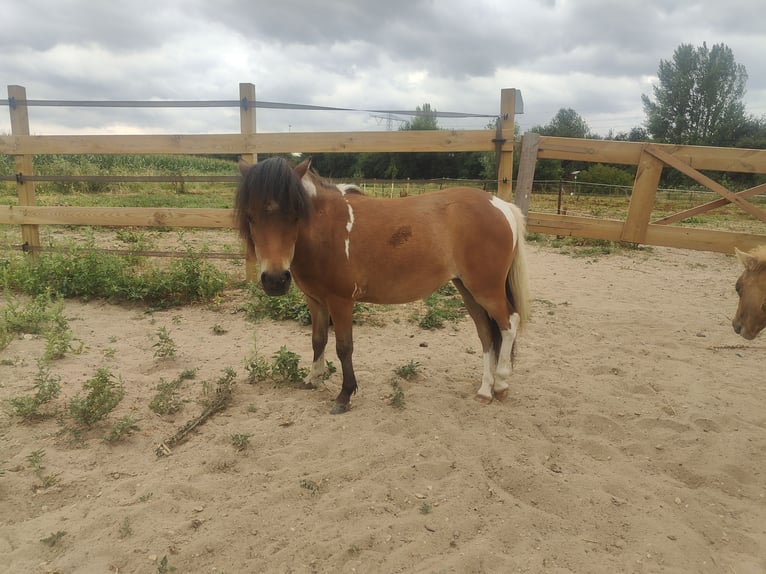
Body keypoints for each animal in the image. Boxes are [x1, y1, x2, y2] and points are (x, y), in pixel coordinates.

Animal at [235, 157, 531, 414]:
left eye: (295, 215)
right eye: (250, 217)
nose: (275, 280)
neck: (325, 230)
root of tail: (500, 205)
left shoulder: (341, 301)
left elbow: (344, 346)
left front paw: (344, 395)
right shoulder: (315, 299)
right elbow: (318, 340)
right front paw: (313, 379)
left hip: (486, 290)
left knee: (509, 324)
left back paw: (500, 384)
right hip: (467, 289)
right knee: (486, 334)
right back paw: (484, 390)